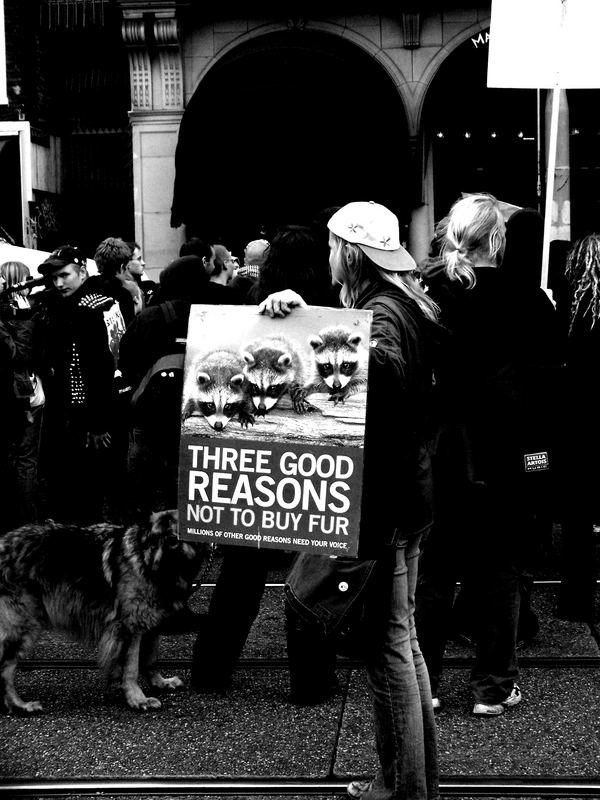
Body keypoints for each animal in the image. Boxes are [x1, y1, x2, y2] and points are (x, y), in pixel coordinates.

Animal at [0, 510, 206, 716]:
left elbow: (150, 659)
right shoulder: (129, 627)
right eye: (152, 542)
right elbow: (132, 667)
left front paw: (159, 683)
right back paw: (19, 705)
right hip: (22, 625)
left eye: (172, 540)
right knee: (5, 670)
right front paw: (137, 699)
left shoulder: (149, 623)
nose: (151, 567)